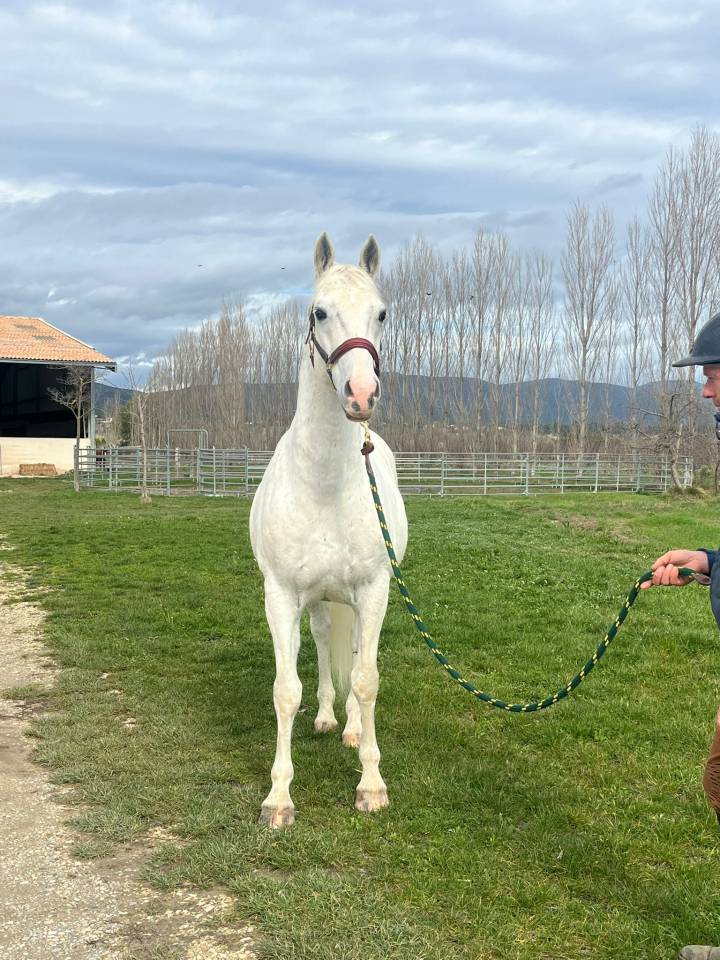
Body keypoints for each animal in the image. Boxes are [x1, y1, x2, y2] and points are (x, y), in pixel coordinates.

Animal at [249, 233, 408, 828]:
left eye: (381, 313)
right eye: (320, 311)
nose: (361, 393)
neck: (324, 484)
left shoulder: (375, 590)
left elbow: (365, 679)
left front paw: (371, 784)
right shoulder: (280, 595)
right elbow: (285, 690)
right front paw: (279, 796)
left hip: (359, 600)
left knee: (358, 653)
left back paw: (351, 730)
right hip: (317, 599)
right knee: (319, 644)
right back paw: (323, 717)